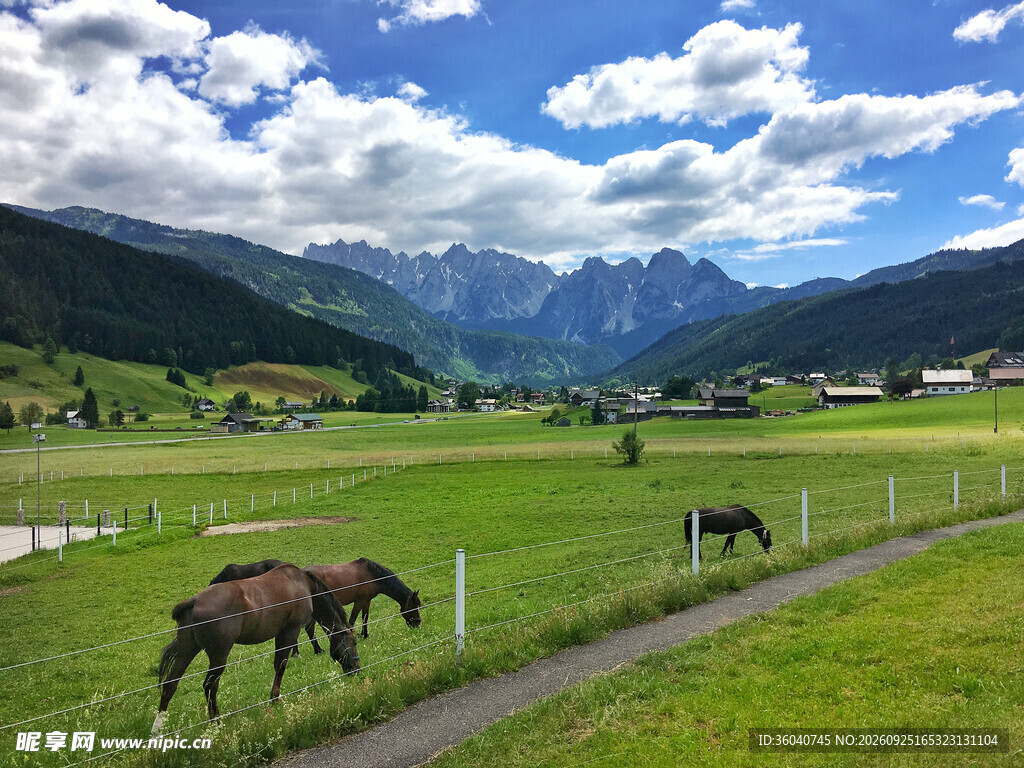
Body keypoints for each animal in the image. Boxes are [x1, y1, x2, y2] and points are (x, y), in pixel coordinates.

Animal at [152, 563, 359, 734]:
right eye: (354, 642)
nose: (357, 668)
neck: (304, 585)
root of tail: (193, 602)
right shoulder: (289, 632)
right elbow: (281, 665)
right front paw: (275, 698)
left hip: (187, 650)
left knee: (170, 684)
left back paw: (157, 728)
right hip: (218, 655)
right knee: (210, 685)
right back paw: (216, 722)